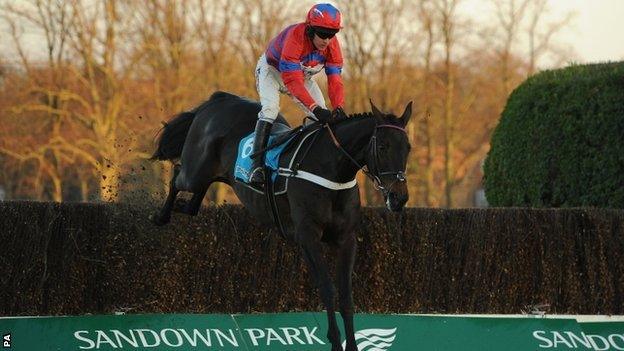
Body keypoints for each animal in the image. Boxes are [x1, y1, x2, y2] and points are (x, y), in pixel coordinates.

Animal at [149, 91, 412, 351]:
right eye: (383, 146)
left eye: (407, 148)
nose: (399, 198)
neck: (332, 170)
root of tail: (219, 99)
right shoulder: (308, 236)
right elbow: (328, 288)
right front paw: (335, 341)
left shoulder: (346, 239)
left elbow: (346, 296)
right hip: (195, 172)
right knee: (177, 175)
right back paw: (160, 216)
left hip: (210, 176)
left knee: (194, 201)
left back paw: (182, 206)